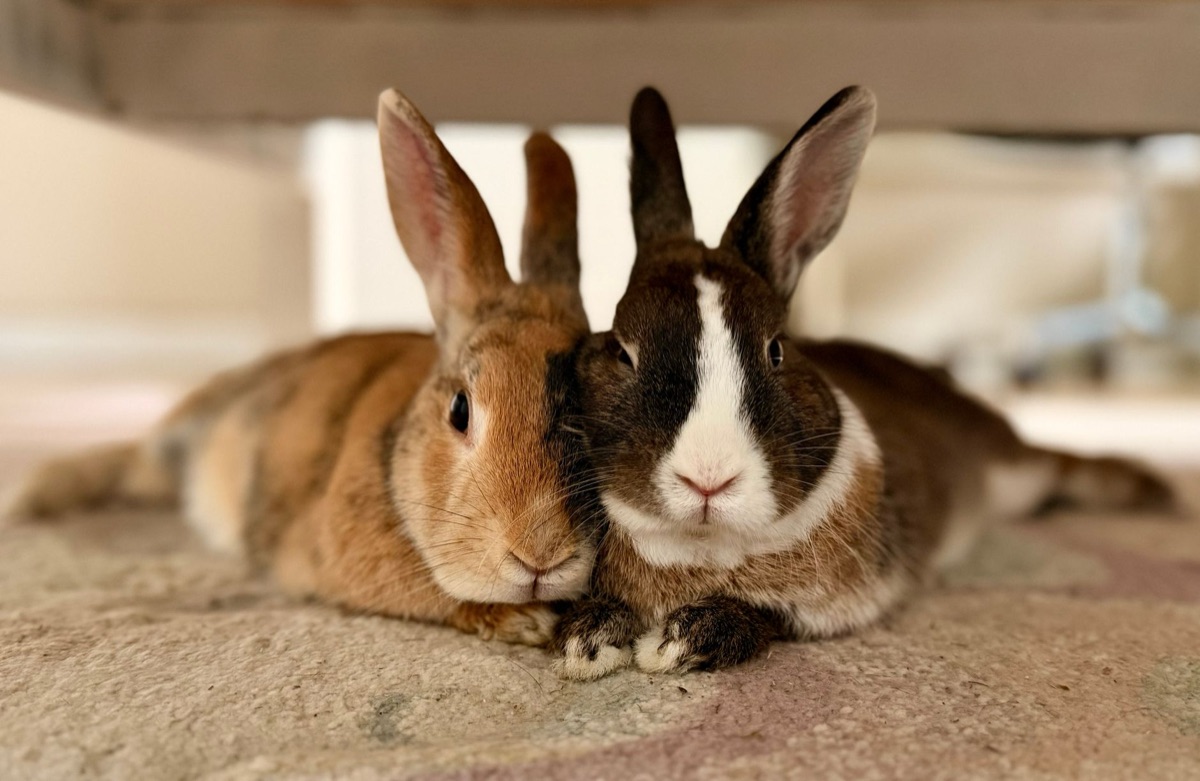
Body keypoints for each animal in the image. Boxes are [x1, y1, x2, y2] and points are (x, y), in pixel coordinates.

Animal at [551, 86, 1177, 679]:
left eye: (776, 350)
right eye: (623, 350)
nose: (708, 479)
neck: (703, 548)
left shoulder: (835, 603)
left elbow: (766, 616)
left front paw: (677, 643)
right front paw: (586, 641)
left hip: (1016, 472)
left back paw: (1153, 493)